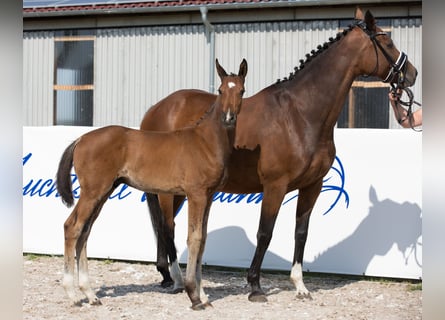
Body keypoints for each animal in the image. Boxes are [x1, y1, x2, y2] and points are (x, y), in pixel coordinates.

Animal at [56, 58, 246, 310]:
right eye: (221, 90)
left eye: (241, 91)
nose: (228, 118)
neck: (205, 141)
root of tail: (80, 139)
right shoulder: (196, 194)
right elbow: (194, 238)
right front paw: (194, 296)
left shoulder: (208, 196)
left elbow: (203, 239)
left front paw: (204, 296)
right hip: (93, 192)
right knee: (73, 227)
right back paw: (73, 294)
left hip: (103, 192)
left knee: (85, 231)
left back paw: (90, 294)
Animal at [140, 7, 416, 302]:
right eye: (388, 42)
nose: (412, 73)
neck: (300, 114)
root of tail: (155, 110)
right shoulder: (275, 185)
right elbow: (265, 232)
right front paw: (255, 286)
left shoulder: (312, 186)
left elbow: (301, 233)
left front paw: (300, 285)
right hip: (169, 192)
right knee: (168, 227)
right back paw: (180, 281)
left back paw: (170, 276)